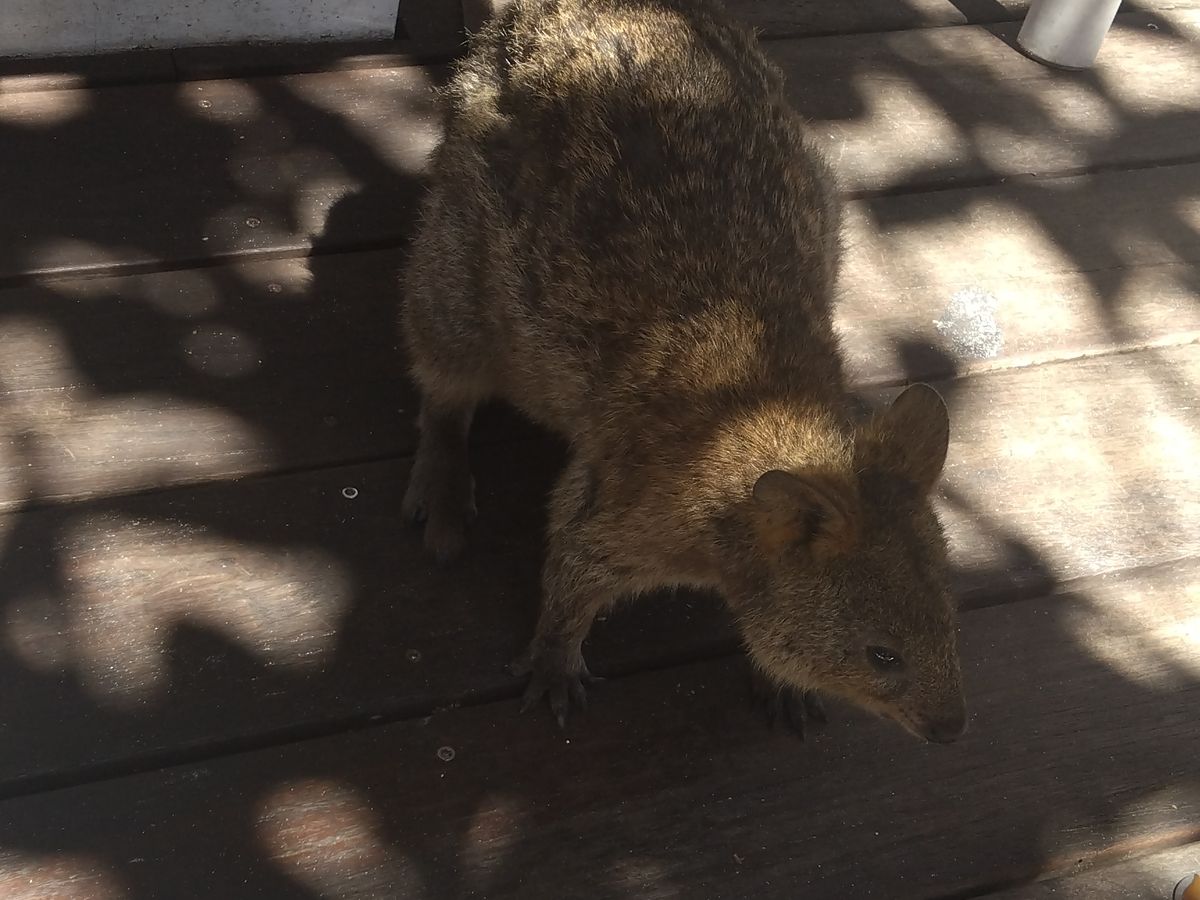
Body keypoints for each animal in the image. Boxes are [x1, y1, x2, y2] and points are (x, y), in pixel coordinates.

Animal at [400, 0, 967, 743]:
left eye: (952, 623)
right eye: (882, 654)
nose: (953, 728)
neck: (762, 409)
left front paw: (783, 686)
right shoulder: (620, 514)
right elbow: (569, 579)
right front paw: (554, 667)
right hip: (453, 274)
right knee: (443, 386)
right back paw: (442, 489)